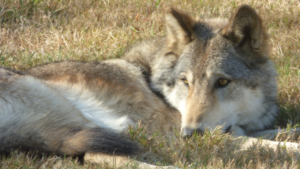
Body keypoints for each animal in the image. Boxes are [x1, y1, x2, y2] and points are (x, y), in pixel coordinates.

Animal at [0, 4, 300, 168]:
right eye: (185, 81)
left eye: (223, 82)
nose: (189, 134)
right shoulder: (204, 135)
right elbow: (273, 146)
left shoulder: (237, 130)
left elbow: (282, 133)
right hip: (86, 121)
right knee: (99, 157)